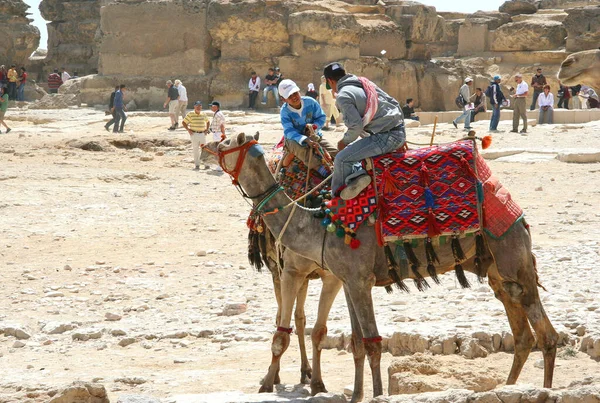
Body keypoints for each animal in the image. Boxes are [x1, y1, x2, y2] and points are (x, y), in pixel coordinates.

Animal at [205, 133, 556, 403]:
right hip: (497, 270)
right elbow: (358, 343)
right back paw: (508, 388)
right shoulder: (346, 280)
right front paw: (357, 394)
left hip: (513, 256)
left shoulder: (358, 279)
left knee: (546, 335)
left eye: (226, 143)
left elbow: (373, 342)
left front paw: (374, 394)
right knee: (522, 334)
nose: (209, 143)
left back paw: (543, 390)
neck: (319, 224)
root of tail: (517, 213)